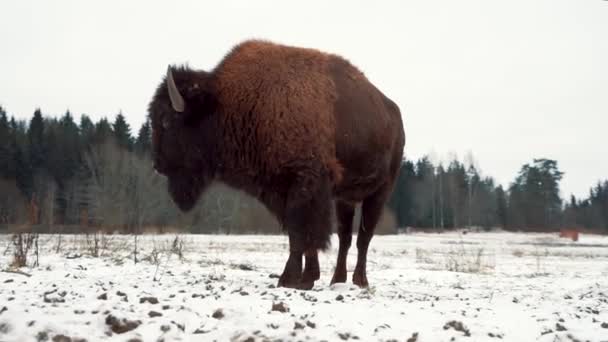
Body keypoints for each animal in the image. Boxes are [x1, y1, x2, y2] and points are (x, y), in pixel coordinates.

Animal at [147, 39, 404, 288]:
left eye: (166, 120)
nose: (157, 165)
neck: (228, 102)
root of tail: (393, 113)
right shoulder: (280, 191)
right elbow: (296, 233)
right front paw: (302, 278)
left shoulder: (306, 185)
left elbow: (304, 232)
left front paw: (293, 279)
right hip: (345, 199)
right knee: (345, 238)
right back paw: (337, 280)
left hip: (380, 192)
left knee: (364, 237)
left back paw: (360, 281)